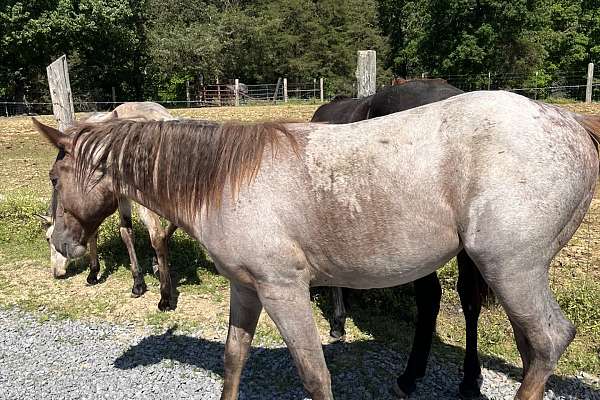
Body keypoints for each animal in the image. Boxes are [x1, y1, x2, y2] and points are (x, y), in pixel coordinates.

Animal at [40, 101, 178, 310]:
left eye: (48, 239)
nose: (56, 273)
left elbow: (112, 233)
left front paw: (94, 273)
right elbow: (125, 231)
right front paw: (139, 279)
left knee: (157, 234)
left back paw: (165, 297)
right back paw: (156, 265)